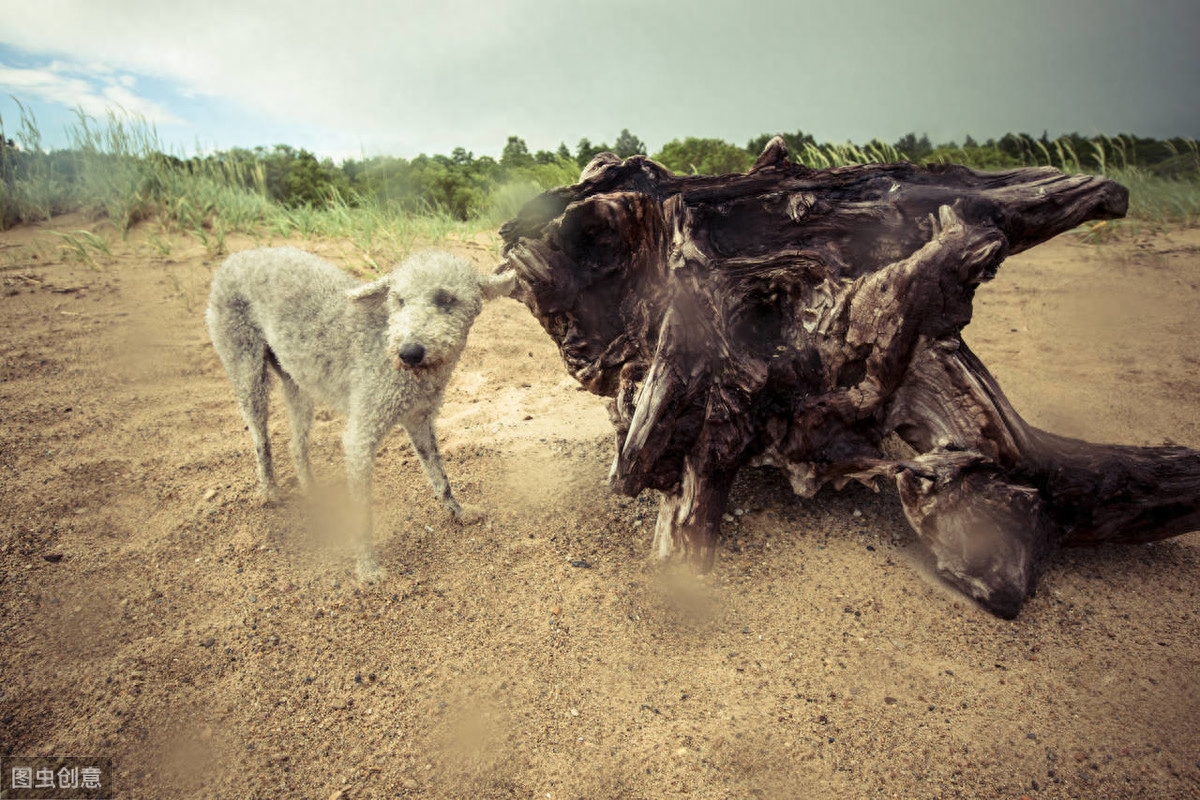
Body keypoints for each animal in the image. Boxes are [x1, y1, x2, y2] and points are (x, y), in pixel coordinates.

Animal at [207, 247, 516, 578]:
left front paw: (459, 513)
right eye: (399, 300)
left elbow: (440, 478)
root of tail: (237, 256)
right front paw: (367, 567)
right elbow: (362, 511)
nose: (409, 352)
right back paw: (268, 492)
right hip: (246, 368)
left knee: (296, 445)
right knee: (261, 440)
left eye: (446, 299)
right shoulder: (362, 434)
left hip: (297, 381)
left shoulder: (419, 420)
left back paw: (312, 494)